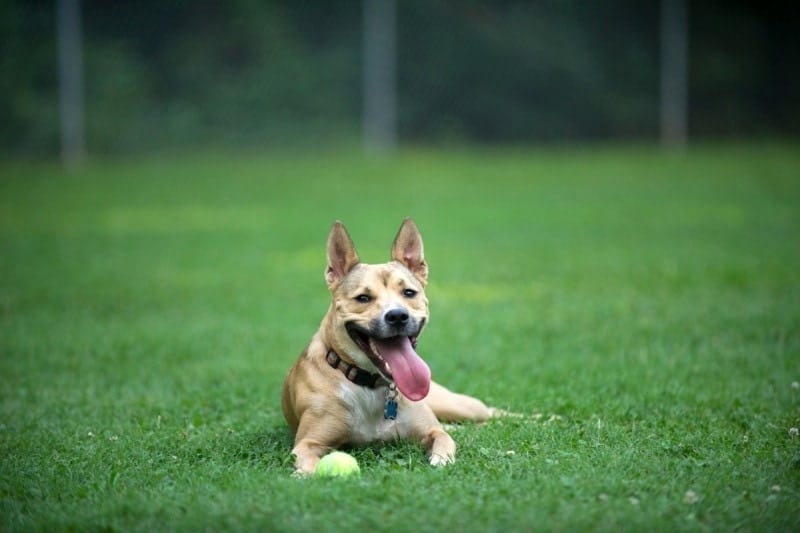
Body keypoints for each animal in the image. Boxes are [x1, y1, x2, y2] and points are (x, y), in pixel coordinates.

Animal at [282, 216, 494, 474]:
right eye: (363, 298)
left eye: (409, 293)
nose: (398, 316)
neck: (371, 386)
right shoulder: (309, 442)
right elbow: (308, 463)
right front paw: (307, 475)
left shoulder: (432, 430)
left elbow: (443, 439)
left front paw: (440, 461)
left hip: (458, 405)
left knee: (489, 413)